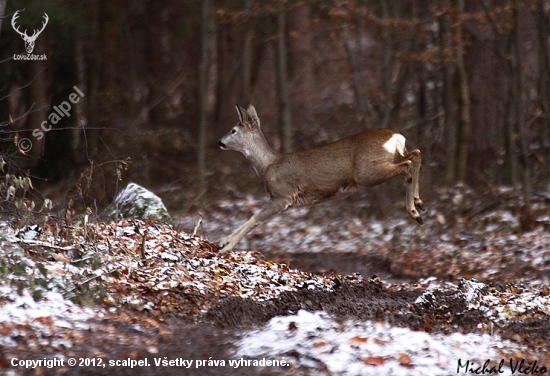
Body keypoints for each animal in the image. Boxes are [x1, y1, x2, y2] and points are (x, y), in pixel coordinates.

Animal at [218, 104, 424, 254]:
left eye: (233, 130)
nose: (220, 142)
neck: (268, 165)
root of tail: (395, 136)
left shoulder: (283, 195)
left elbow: (255, 218)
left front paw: (225, 245)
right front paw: (225, 243)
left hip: (367, 172)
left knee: (407, 165)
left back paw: (414, 211)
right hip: (389, 159)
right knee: (416, 154)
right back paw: (418, 204)